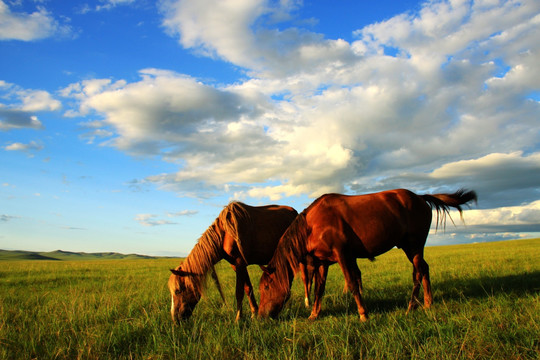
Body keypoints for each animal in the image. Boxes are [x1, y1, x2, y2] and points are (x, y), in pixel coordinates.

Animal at [168, 201, 300, 322]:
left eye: (178, 291)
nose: (175, 319)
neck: (225, 234)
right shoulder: (237, 266)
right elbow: (248, 288)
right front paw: (254, 313)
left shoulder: (239, 263)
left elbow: (239, 292)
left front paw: (238, 319)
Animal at [258, 188, 476, 320]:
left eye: (266, 287)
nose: (261, 315)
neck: (313, 225)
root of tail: (420, 197)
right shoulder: (322, 262)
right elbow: (319, 289)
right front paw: (314, 314)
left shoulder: (342, 255)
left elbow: (352, 283)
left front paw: (363, 313)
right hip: (411, 247)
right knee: (424, 269)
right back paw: (427, 303)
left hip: (414, 245)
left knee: (418, 272)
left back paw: (413, 306)